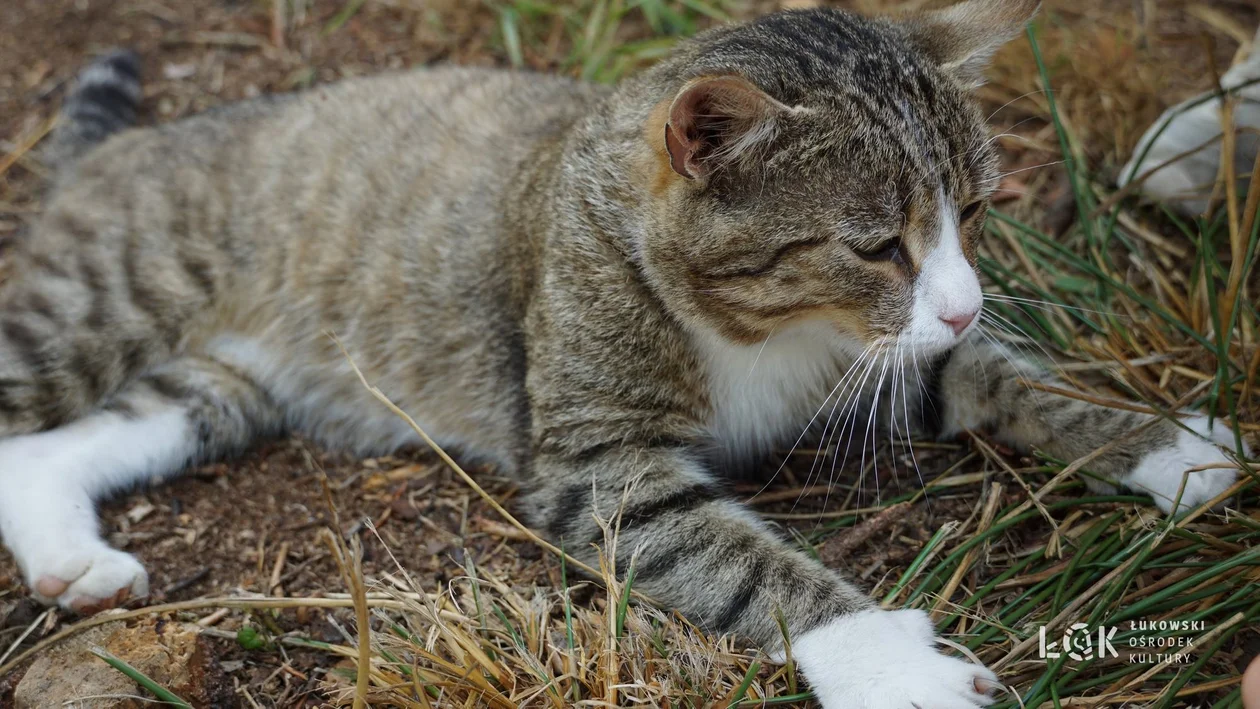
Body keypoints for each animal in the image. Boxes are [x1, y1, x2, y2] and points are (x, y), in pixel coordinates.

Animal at [0, 2, 1244, 705]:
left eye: (975, 214)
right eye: (875, 244)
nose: (964, 300)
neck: (768, 330)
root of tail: (119, 148)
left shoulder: (888, 358)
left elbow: (998, 380)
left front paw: (1159, 443)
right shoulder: (600, 471)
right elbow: (745, 565)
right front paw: (889, 661)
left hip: (221, 382)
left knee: (46, 450)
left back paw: (72, 561)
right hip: (98, 305)